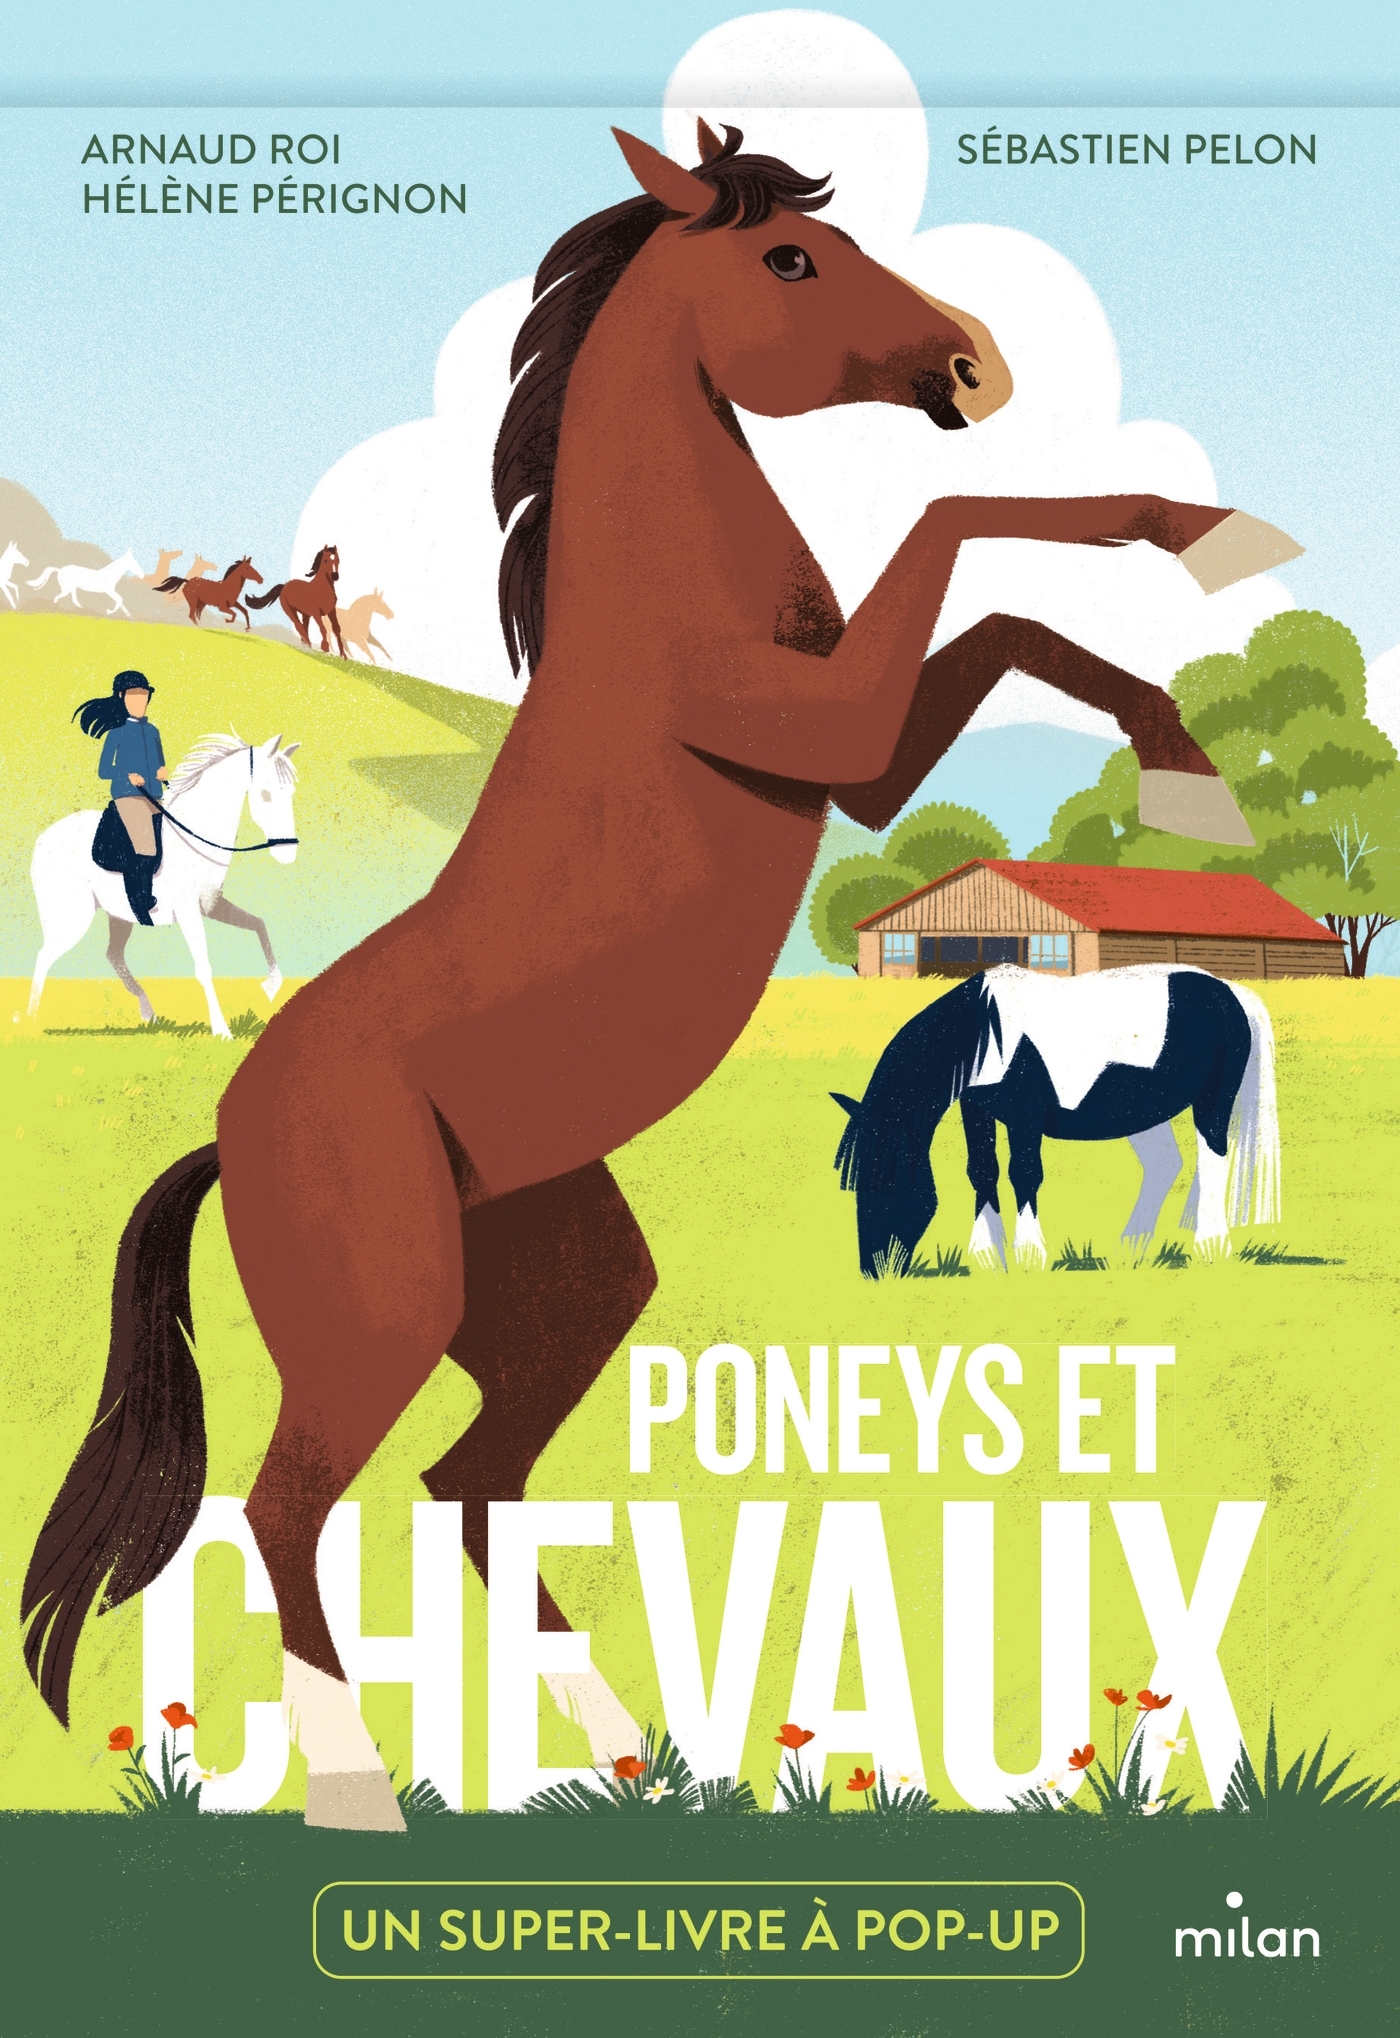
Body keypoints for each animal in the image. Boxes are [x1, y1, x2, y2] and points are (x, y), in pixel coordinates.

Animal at [27, 734, 300, 1039]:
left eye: (290, 792)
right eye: (266, 794)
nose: (288, 853)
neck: (195, 837)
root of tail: (44, 838)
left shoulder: (213, 906)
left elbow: (259, 925)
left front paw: (271, 986)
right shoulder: (188, 911)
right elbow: (204, 967)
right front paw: (222, 1031)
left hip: (119, 916)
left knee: (112, 955)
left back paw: (149, 1013)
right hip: (72, 920)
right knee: (44, 956)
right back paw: (29, 1022)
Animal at [833, 965, 1281, 1274]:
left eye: (887, 1182)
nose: (874, 1269)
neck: (987, 1029)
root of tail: (1231, 992)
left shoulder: (1025, 1114)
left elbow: (1025, 1172)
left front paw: (1030, 1254)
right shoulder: (976, 1108)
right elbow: (982, 1170)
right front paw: (988, 1257)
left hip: (1212, 1101)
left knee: (1213, 1157)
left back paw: (1211, 1247)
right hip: (1144, 1112)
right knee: (1164, 1165)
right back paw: (1130, 1248)